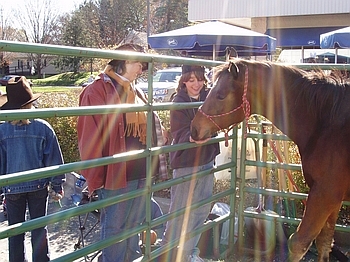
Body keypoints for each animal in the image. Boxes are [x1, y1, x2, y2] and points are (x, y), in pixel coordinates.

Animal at [190, 59, 350, 262]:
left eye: (220, 95)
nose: (194, 128)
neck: (325, 122)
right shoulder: (334, 198)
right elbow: (324, 242)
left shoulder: (324, 194)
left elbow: (298, 243)